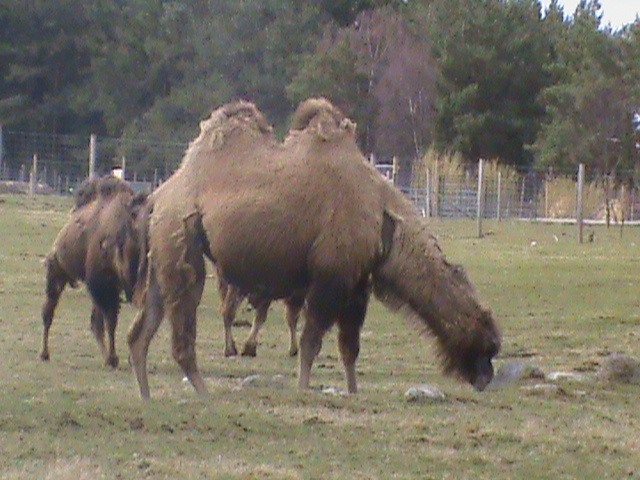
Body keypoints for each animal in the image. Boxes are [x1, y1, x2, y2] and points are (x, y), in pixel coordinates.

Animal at [40, 175, 147, 368]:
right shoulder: (104, 283)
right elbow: (110, 321)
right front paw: (113, 358)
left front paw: (125, 357)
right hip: (57, 273)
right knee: (48, 311)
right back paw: (44, 353)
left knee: (94, 321)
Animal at [127, 98, 501, 399]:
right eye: (486, 337)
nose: (486, 377)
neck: (385, 217)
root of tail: (158, 196)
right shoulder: (330, 275)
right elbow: (312, 341)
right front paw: (303, 388)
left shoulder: (358, 282)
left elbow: (349, 347)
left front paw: (353, 391)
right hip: (180, 235)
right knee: (182, 327)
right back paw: (204, 392)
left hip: (162, 253)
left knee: (140, 331)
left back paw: (146, 394)